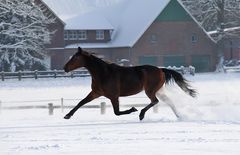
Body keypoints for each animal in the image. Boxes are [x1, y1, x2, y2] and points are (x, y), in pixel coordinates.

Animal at [63, 46, 197, 120]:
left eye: (75, 57)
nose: (65, 68)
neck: (104, 73)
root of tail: (161, 70)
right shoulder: (96, 93)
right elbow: (81, 102)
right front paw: (67, 115)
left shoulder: (113, 96)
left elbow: (117, 112)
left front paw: (133, 109)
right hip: (158, 91)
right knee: (168, 101)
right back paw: (179, 116)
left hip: (150, 90)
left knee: (155, 101)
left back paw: (141, 114)